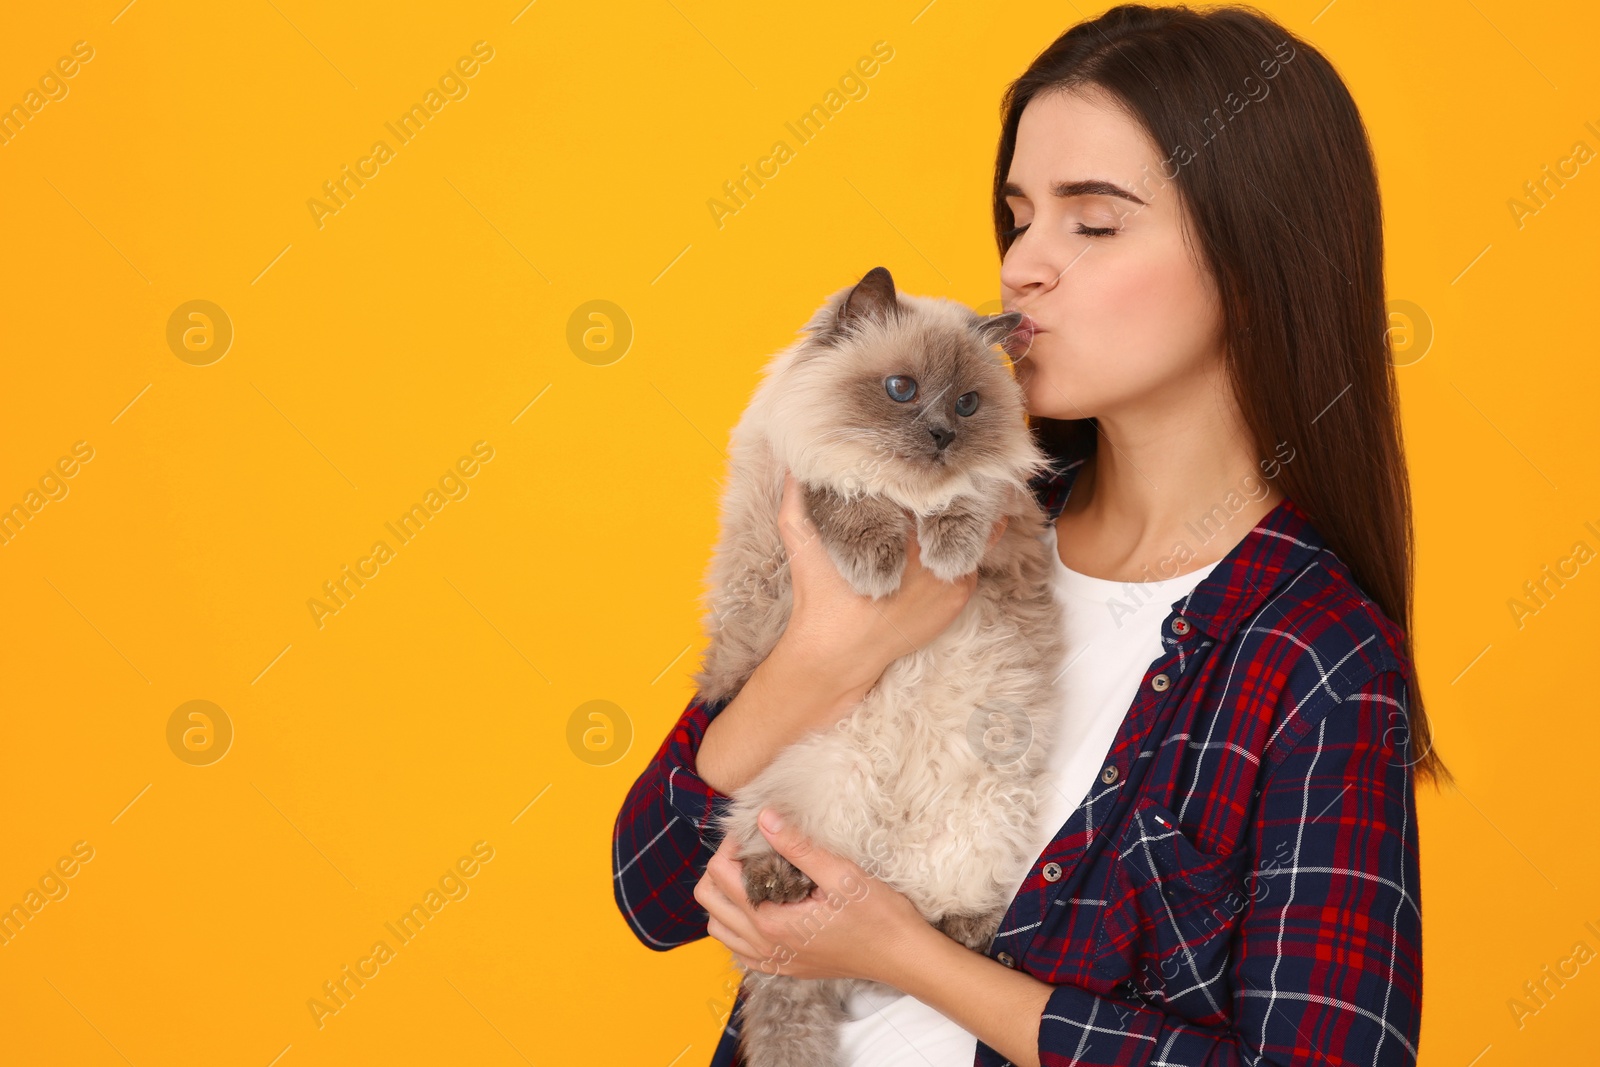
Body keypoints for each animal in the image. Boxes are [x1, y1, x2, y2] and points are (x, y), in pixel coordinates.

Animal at [694, 267, 1068, 1067]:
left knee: (935, 923)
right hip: (814, 778)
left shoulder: (1008, 515)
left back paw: (962, 929)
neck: (908, 495)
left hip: (984, 811)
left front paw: (945, 548)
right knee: (768, 855)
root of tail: (885, 852)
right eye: (901, 389)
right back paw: (778, 882)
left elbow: (970, 496)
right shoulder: (799, 486)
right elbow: (847, 496)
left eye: (967, 404)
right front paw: (879, 564)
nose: (941, 435)